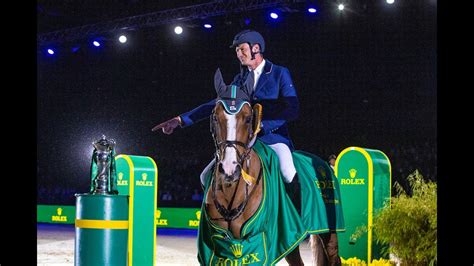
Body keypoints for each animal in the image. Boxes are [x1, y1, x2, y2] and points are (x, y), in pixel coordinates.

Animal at [198, 69, 342, 266]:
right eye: (214, 116)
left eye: (248, 118)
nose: (229, 169)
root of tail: (324, 164)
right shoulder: (221, 244)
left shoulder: (258, 239)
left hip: (328, 231)